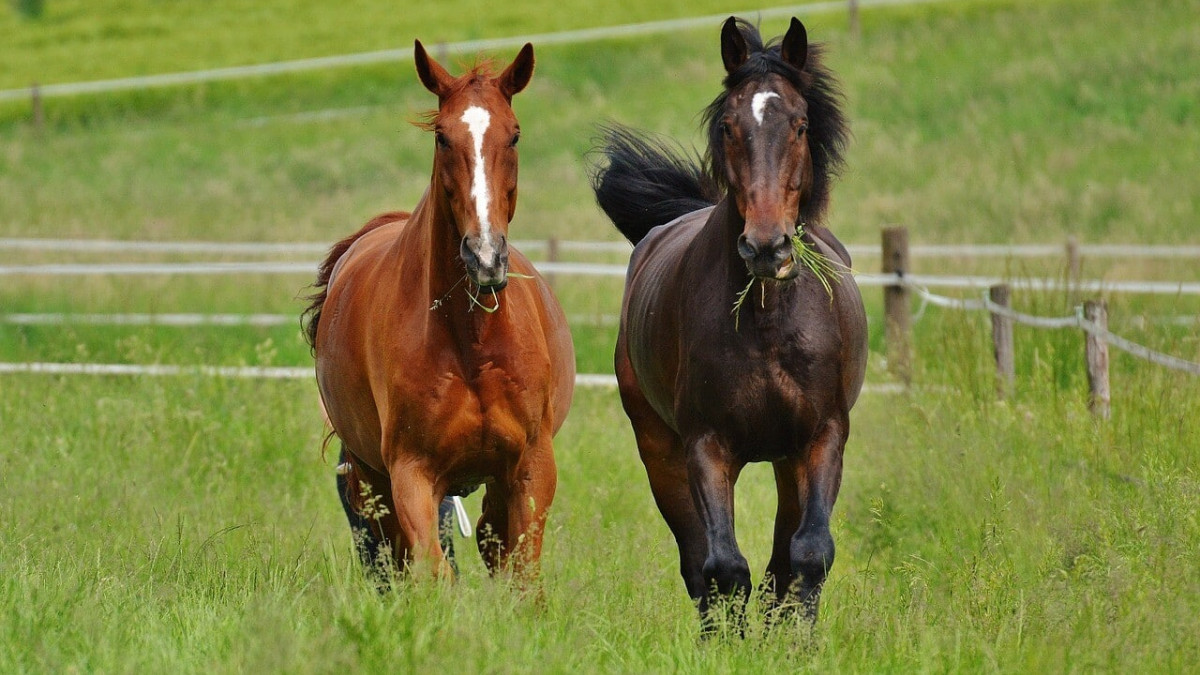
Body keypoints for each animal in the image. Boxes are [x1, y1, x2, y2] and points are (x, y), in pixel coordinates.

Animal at [304, 40, 576, 578]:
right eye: (442, 138)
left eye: (514, 135)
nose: (485, 256)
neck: (471, 343)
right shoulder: (411, 473)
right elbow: (433, 570)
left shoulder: (531, 467)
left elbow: (521, 574)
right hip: (373, 479)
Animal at [588, 17, 864, 624]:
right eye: (729, 126)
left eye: (801, 125)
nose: (765, 247)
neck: (768, 324)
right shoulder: (706, 447)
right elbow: (723, 567)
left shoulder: (823, 437)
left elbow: (808, 554)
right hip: (660, 451)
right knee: (699, 565)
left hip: (787, 461)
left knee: (783, 557)